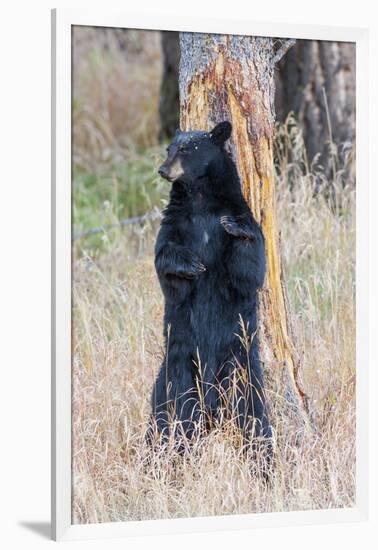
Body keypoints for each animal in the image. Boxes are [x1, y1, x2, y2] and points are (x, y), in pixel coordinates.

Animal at [149, 121, 270, 448]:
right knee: (170, 410)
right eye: (169, 148)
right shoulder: (175, 223)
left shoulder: (239, 213)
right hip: (177, 365)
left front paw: (236, 229)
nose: (163, 169)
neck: (201, 200)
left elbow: (249, 271)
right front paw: (192, 263)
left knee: (253, 412)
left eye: (187, 148)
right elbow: (166, 265)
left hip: (241, 364)